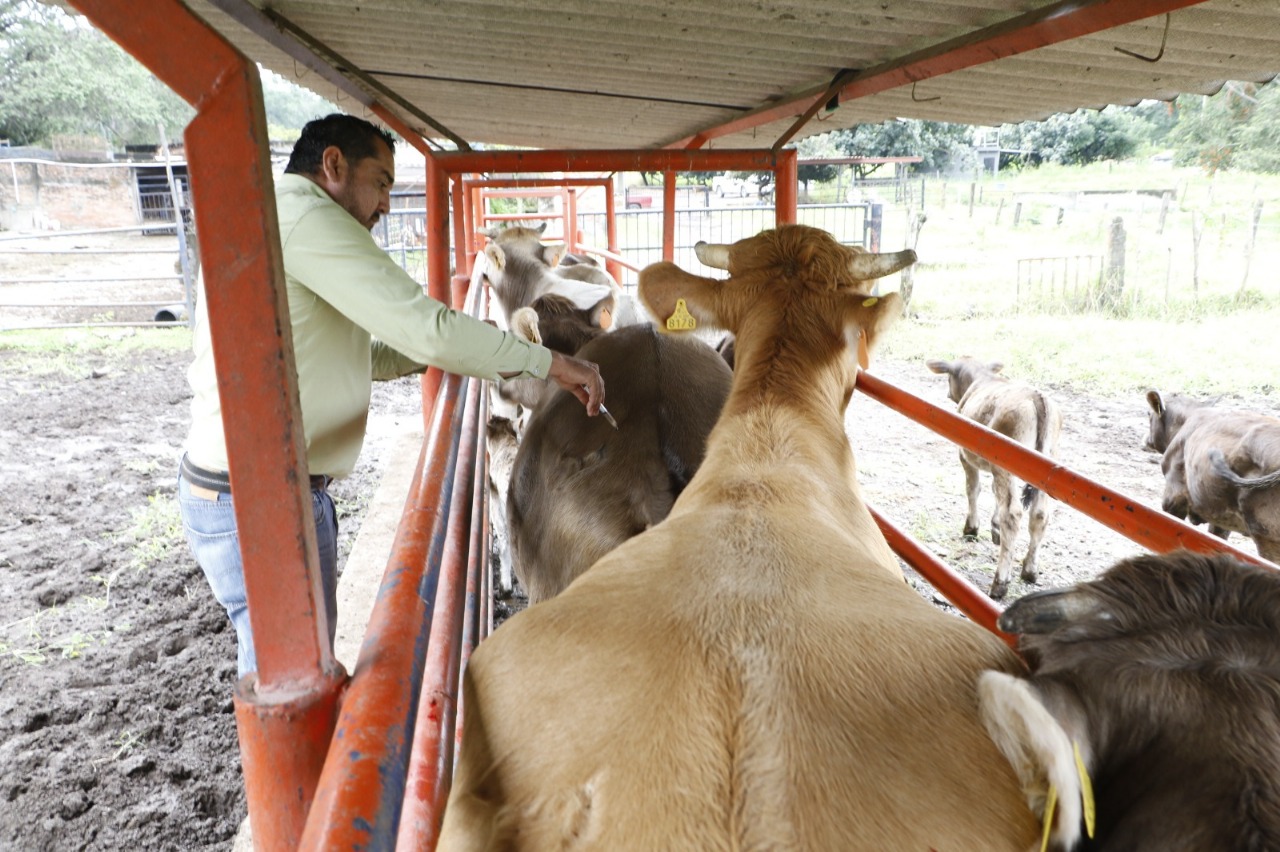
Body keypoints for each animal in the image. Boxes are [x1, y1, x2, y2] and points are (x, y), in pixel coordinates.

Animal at [926, 357, 1063, 599]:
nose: (948, 393)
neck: (982, 378)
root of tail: (1037, 398)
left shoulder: (965, 455)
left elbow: (973, 488)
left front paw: (971, 528)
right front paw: (994, 526)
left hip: (1006, 464)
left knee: (1013, 513)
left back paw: (1000, 582)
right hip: (1045, 467)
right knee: (1039, 515)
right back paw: (1030, 570)